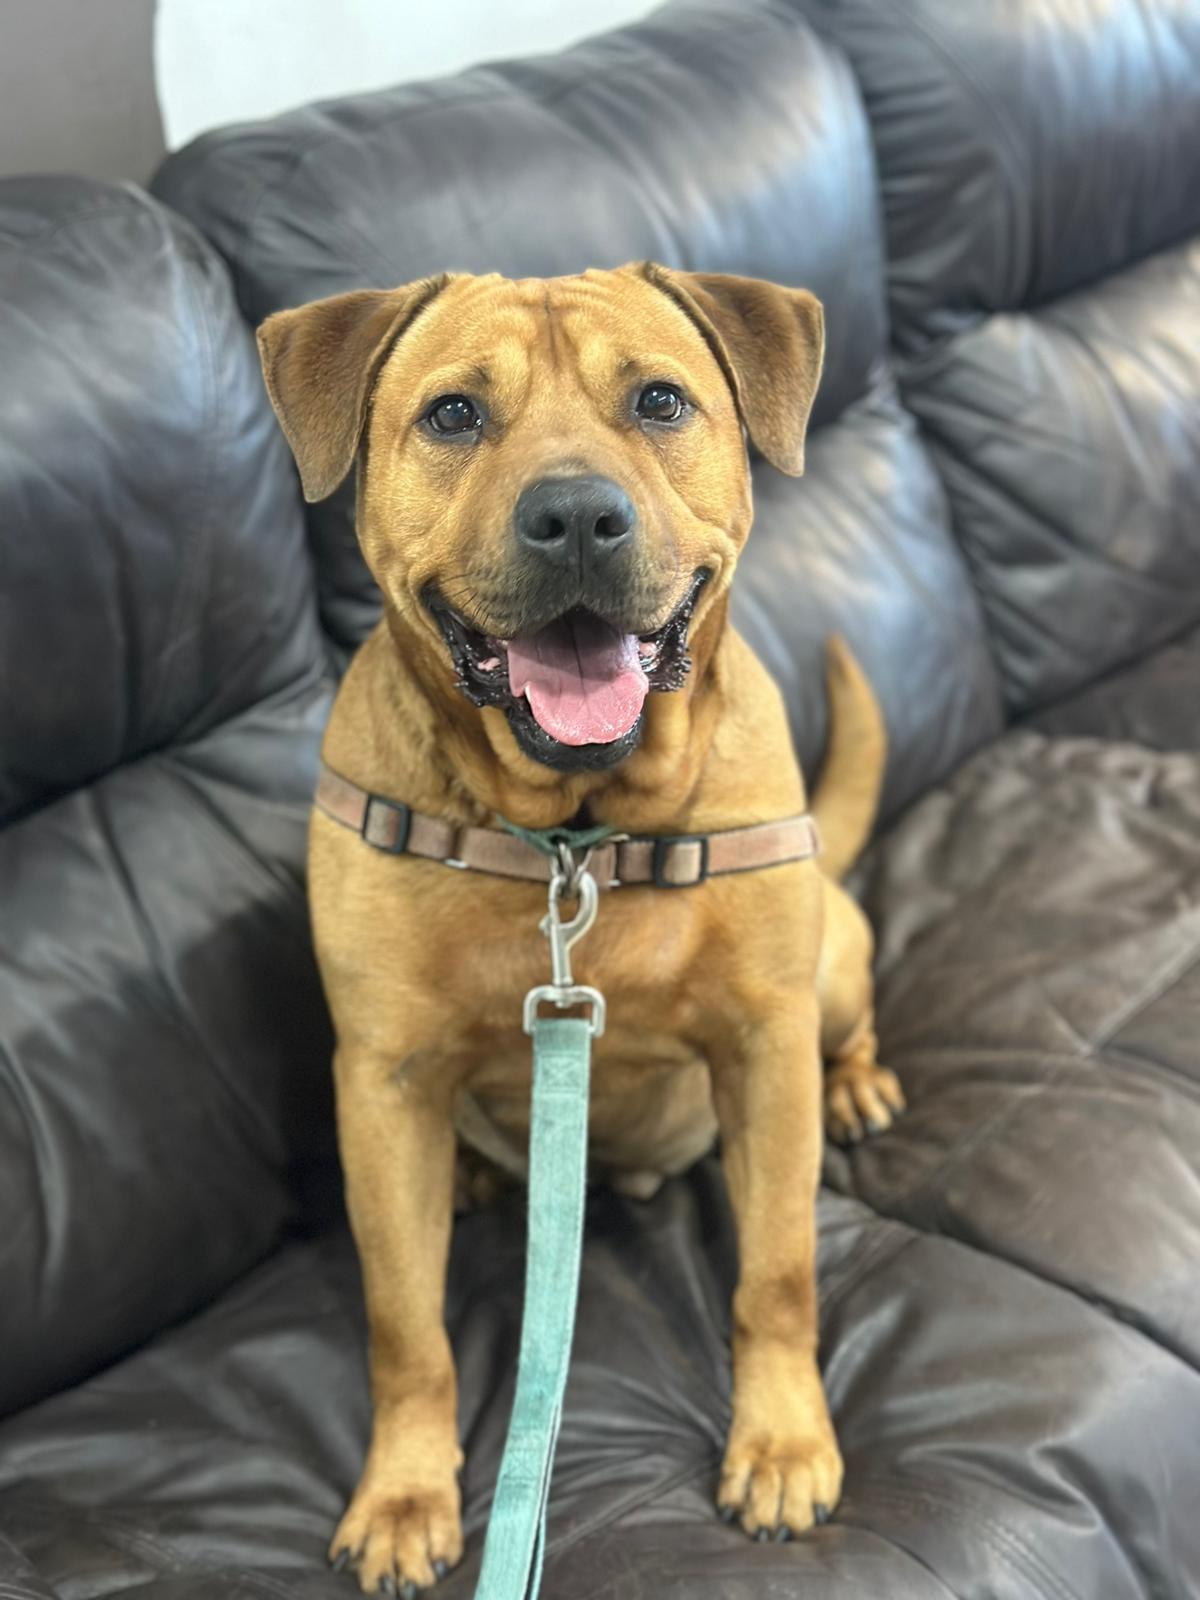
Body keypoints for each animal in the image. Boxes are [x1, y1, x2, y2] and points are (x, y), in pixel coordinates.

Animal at [259, 268, 908, 1593]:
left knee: (849, 1026)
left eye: (659, 400)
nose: (573, 517)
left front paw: (782, 1440)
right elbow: (404, 1326)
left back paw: (860, 1081)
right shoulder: (383, 1080)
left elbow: (777, 1273)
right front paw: (404, 1492)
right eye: (453, 415)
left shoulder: (766, 1047)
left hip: (832, 961)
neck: (577, 830)